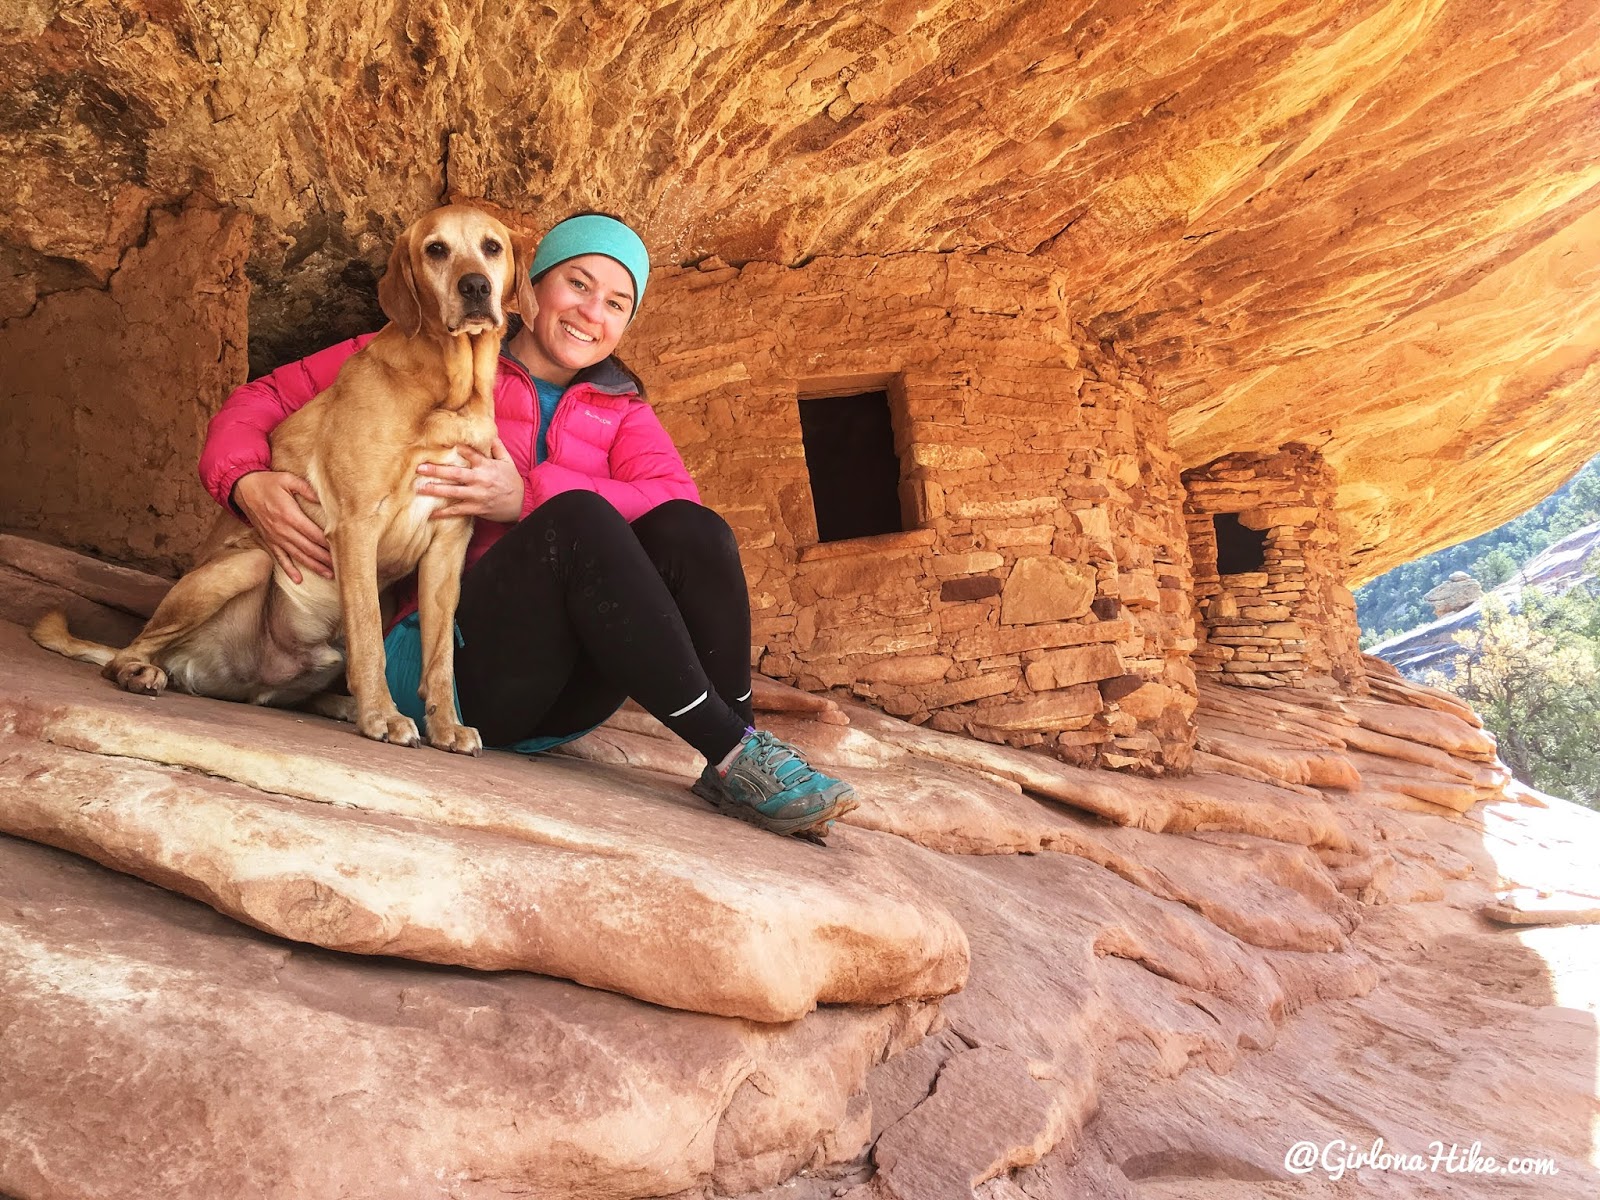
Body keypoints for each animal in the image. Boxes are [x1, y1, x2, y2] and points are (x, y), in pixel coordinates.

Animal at [31, 203, 521, 755]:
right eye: (436, 249)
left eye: (492, 247)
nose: (476, 286)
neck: (448, 394)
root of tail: (217, 677)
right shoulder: (356, 526)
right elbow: (370, 640)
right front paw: (383, 716)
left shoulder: (447, 546)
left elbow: (440, 658)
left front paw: (445, 725)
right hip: (248, 562)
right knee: (131, 649)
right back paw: (139, 671)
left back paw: (337, 705)